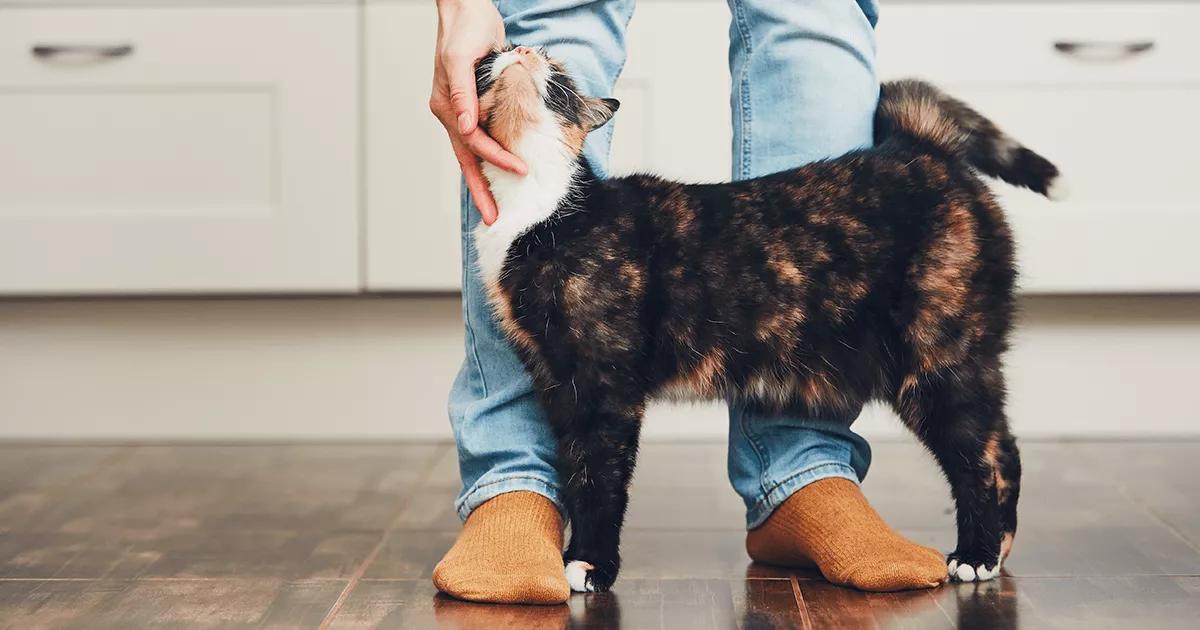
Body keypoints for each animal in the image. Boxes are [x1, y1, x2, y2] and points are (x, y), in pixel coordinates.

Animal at [468, 42, 1060, 590]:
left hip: (938, 360)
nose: (521, 48)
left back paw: (977, 554)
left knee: (982, 457)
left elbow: (600, 477)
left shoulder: (605, 385)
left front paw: (591, 564)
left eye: (557, 72)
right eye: (494, 57)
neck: (540, 208)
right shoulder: (556, 382)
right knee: (1002, 448)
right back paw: (997, 548)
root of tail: (918, 147)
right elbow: (575, 470)